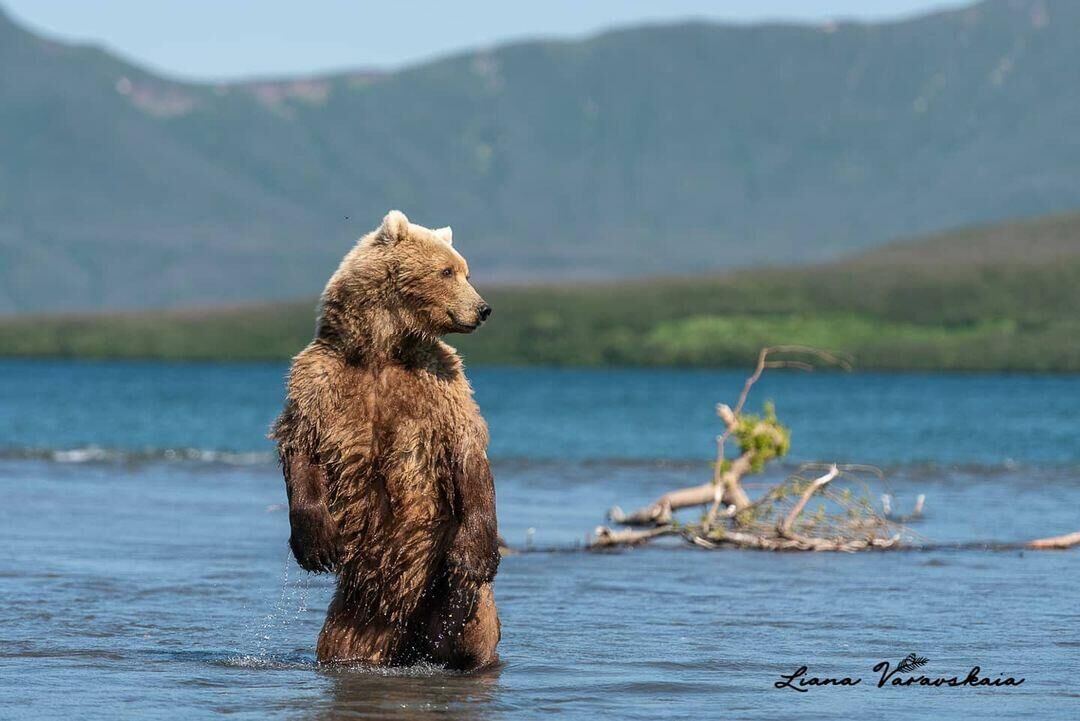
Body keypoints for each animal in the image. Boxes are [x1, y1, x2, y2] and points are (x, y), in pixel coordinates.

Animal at [274, 209, 501, 669]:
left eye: (465, 270)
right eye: (447, 270)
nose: (483, 308)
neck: (381, 350)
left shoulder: (441, 384)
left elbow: (467, 452)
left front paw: (475, 557)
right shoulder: (319, 379)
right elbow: (299, 444)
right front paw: (316, 543)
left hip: (446, 586)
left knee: (471, 627)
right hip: (356, 617)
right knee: (343, 642)